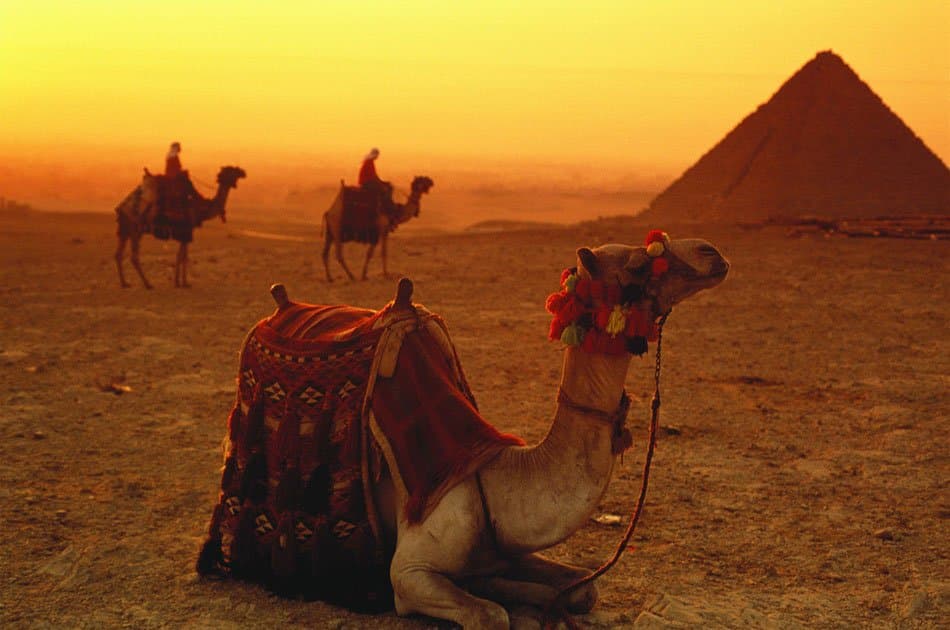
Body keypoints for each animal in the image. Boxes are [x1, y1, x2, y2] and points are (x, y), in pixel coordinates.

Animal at [114, 166, 246, 288]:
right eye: (232, 170)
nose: (243, 172)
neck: (200, 208)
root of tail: (122, 207)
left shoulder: (185, 233)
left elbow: (180, 256)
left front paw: (178, 282)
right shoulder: (187, 231)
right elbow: (184, 257)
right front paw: (185, 283)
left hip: (125, 229)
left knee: (118, 254)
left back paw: (124, 283)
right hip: (136, 229)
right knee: (134, 257)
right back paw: (148, 284)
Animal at [198, 233, 728, 628]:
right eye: (640, 264)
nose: (713, 253)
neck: (494, 479)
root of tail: (278, 308)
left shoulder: (503, 548)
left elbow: (583, 589)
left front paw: (534, 595)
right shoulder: (409, 571)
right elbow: (491, 615)